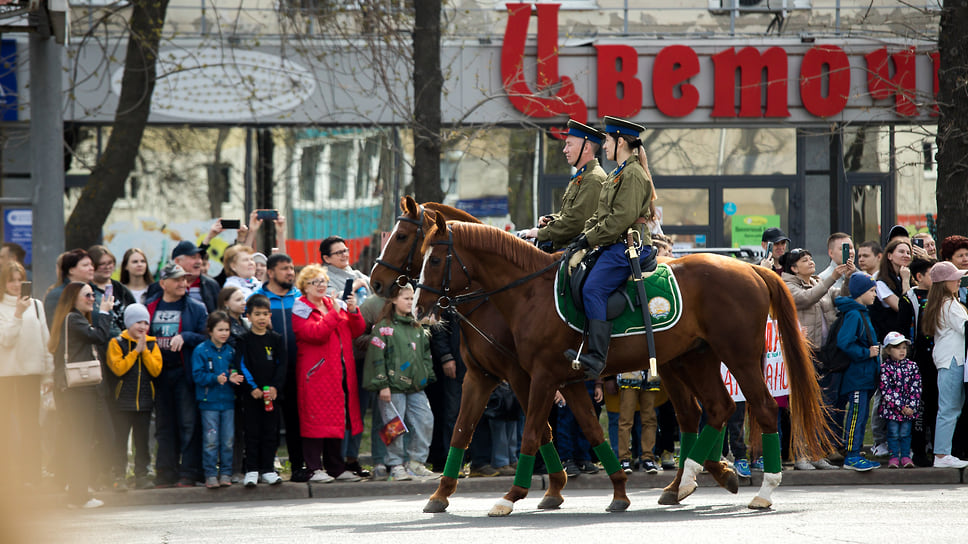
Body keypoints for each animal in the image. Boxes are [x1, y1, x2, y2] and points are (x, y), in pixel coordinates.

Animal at [368, 197, 740, 516]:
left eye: (402, 236)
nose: (375, 283)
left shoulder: (526, 376)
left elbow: (538, 430)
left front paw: (540, 490)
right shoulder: (483, 376)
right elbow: (464, 430)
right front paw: (442, 493)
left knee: (704, 412)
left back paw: (704, 473)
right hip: (680, 362)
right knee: (698, 413)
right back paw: (691, 479)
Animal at [414, 214, 832, 516]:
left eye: (433, 259)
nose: (417, 307)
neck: (528, 293)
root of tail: (752, 269)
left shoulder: (540, 376)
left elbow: (533, 433)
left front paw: (511, 495)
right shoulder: (543, 379)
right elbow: (577, 430)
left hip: (739, 357)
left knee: (760, 408)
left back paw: (762, 489)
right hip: (696, 357)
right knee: (716, 409)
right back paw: (688, 480)